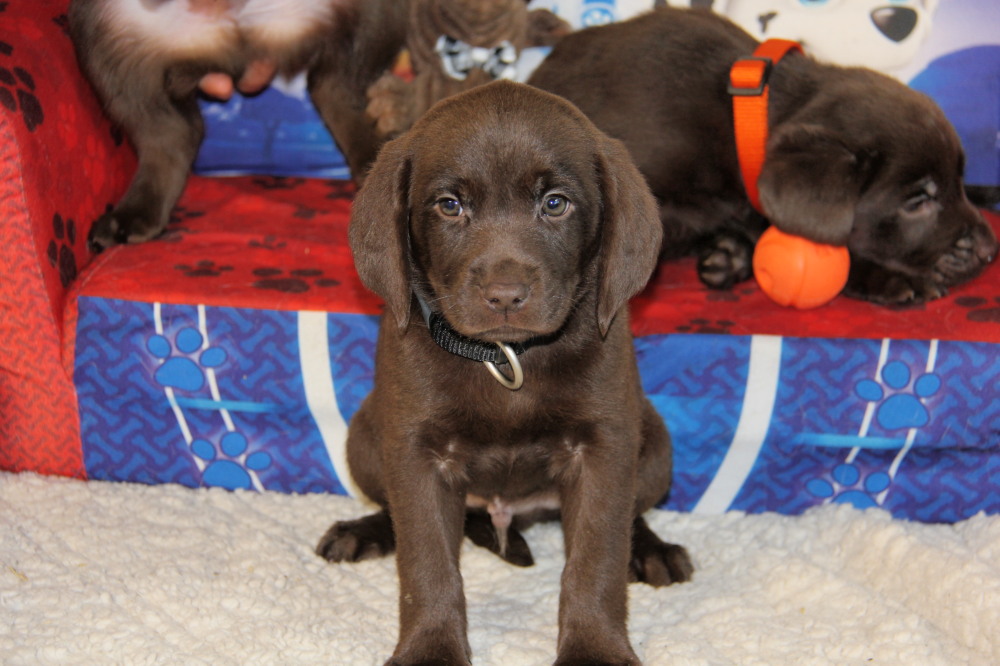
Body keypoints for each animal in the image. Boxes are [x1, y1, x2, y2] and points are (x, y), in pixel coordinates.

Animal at [316, 80, 692, 660]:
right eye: (450, 206)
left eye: (555, 203)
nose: (505, 296)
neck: (505, 357)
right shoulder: (416, 451)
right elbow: (426, 564)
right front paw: (430, 648)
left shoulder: (604, 445)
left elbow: (596, 559)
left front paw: (595, 646)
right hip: (365, 438)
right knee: (391, 510)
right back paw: (364, 531)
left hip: (654, 446)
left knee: (634, 514)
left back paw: (651, 550)